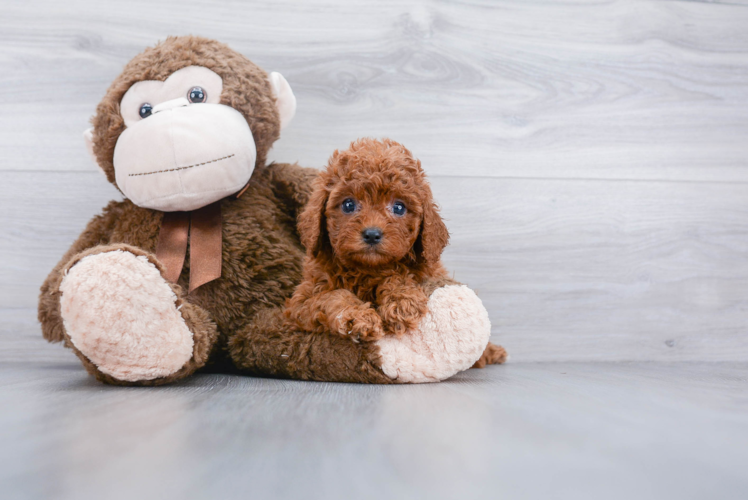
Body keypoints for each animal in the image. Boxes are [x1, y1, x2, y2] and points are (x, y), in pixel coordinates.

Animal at [286, 139, 508, 366]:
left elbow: (399, 275)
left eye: (399, 207)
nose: (372, 234)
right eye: (348, 204)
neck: (367, 269)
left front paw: (402, 302)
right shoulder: (300, 303)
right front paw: (358, 317)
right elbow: (333, 296)